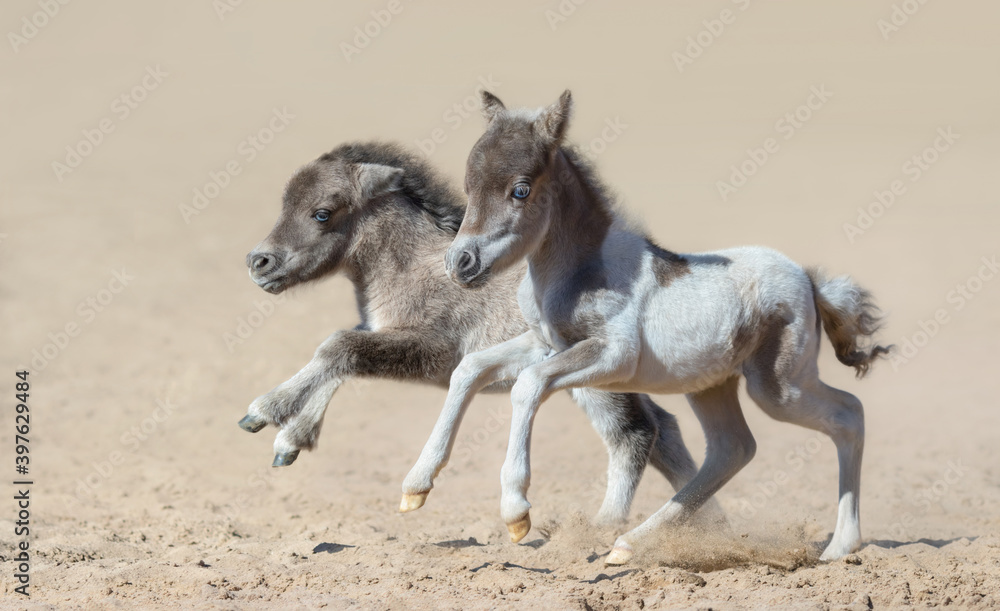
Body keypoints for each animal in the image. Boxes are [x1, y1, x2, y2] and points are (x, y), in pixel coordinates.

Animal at [401, 92, 890, 563]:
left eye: (520, 190)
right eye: (469, 186)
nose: (461, 263)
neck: (579, 271)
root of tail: (808, 279)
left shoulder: (612, 354)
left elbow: (528, 385)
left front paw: (516, 512)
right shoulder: (544, 343)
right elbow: (470, 368)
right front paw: (415, 488)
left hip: (779, 387)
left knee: (848, 414)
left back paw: (841, 546)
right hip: (711, 386)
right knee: (733, 448)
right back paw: (629, 543)